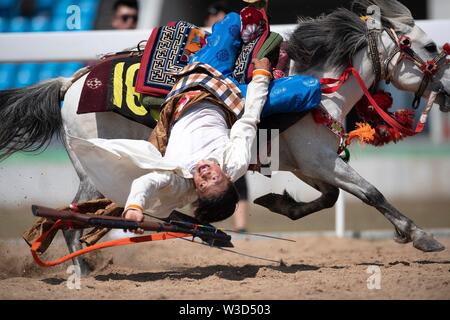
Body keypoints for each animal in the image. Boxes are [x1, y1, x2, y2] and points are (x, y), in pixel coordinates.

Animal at [0, 0, 448, 276]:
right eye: (429, 47)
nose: (447, 90)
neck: (321, 85)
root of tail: (70, 82)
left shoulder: (306, 162)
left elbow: (329, 197)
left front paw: (278, 203)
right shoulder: (319, 159)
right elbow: (371, 193)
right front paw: (420, 236)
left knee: (74, 214)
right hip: (96, 169)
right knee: (72, 217)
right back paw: (80, 270)